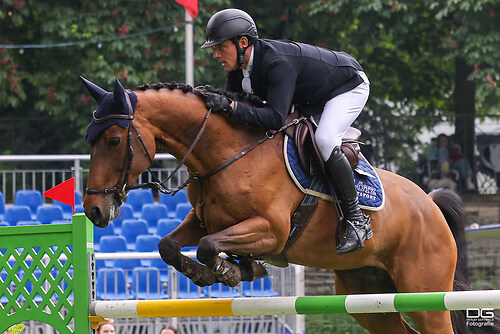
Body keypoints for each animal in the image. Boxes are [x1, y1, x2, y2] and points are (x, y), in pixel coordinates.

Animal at [83, 77, 476, 334]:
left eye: (114, 140)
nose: (93, 211)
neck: (226, 153)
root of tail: (430, 204)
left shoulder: (271, 230)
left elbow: (210, 246)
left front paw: (230, 271)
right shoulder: (205, 219)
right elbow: (169, 244)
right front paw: (216, 271)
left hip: (425, 294)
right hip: (369, 297)